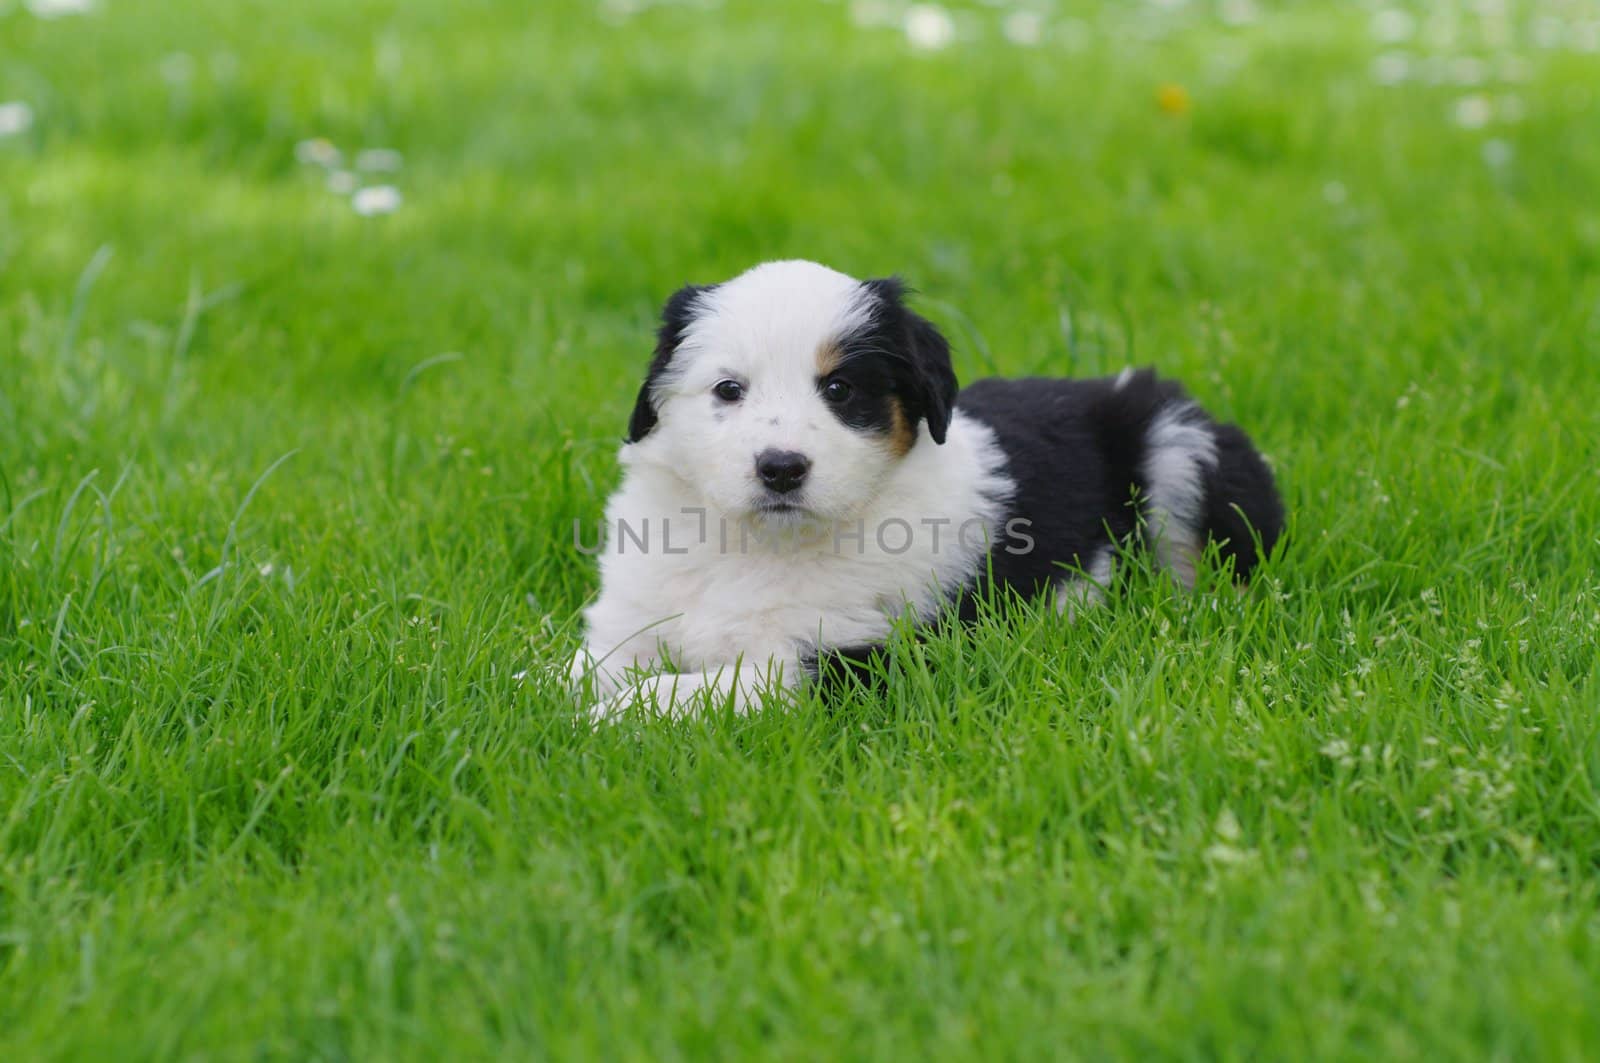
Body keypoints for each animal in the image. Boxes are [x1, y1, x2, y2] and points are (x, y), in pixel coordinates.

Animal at [569, 260, 1280, 717]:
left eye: (840, 389)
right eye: (728, 390)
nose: (781, 468)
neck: (757, 545)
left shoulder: (860, 654)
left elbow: (703, 688)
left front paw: (600, 719)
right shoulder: (630, 619)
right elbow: (586, 667)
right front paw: (551, 693)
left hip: (1178, 443)